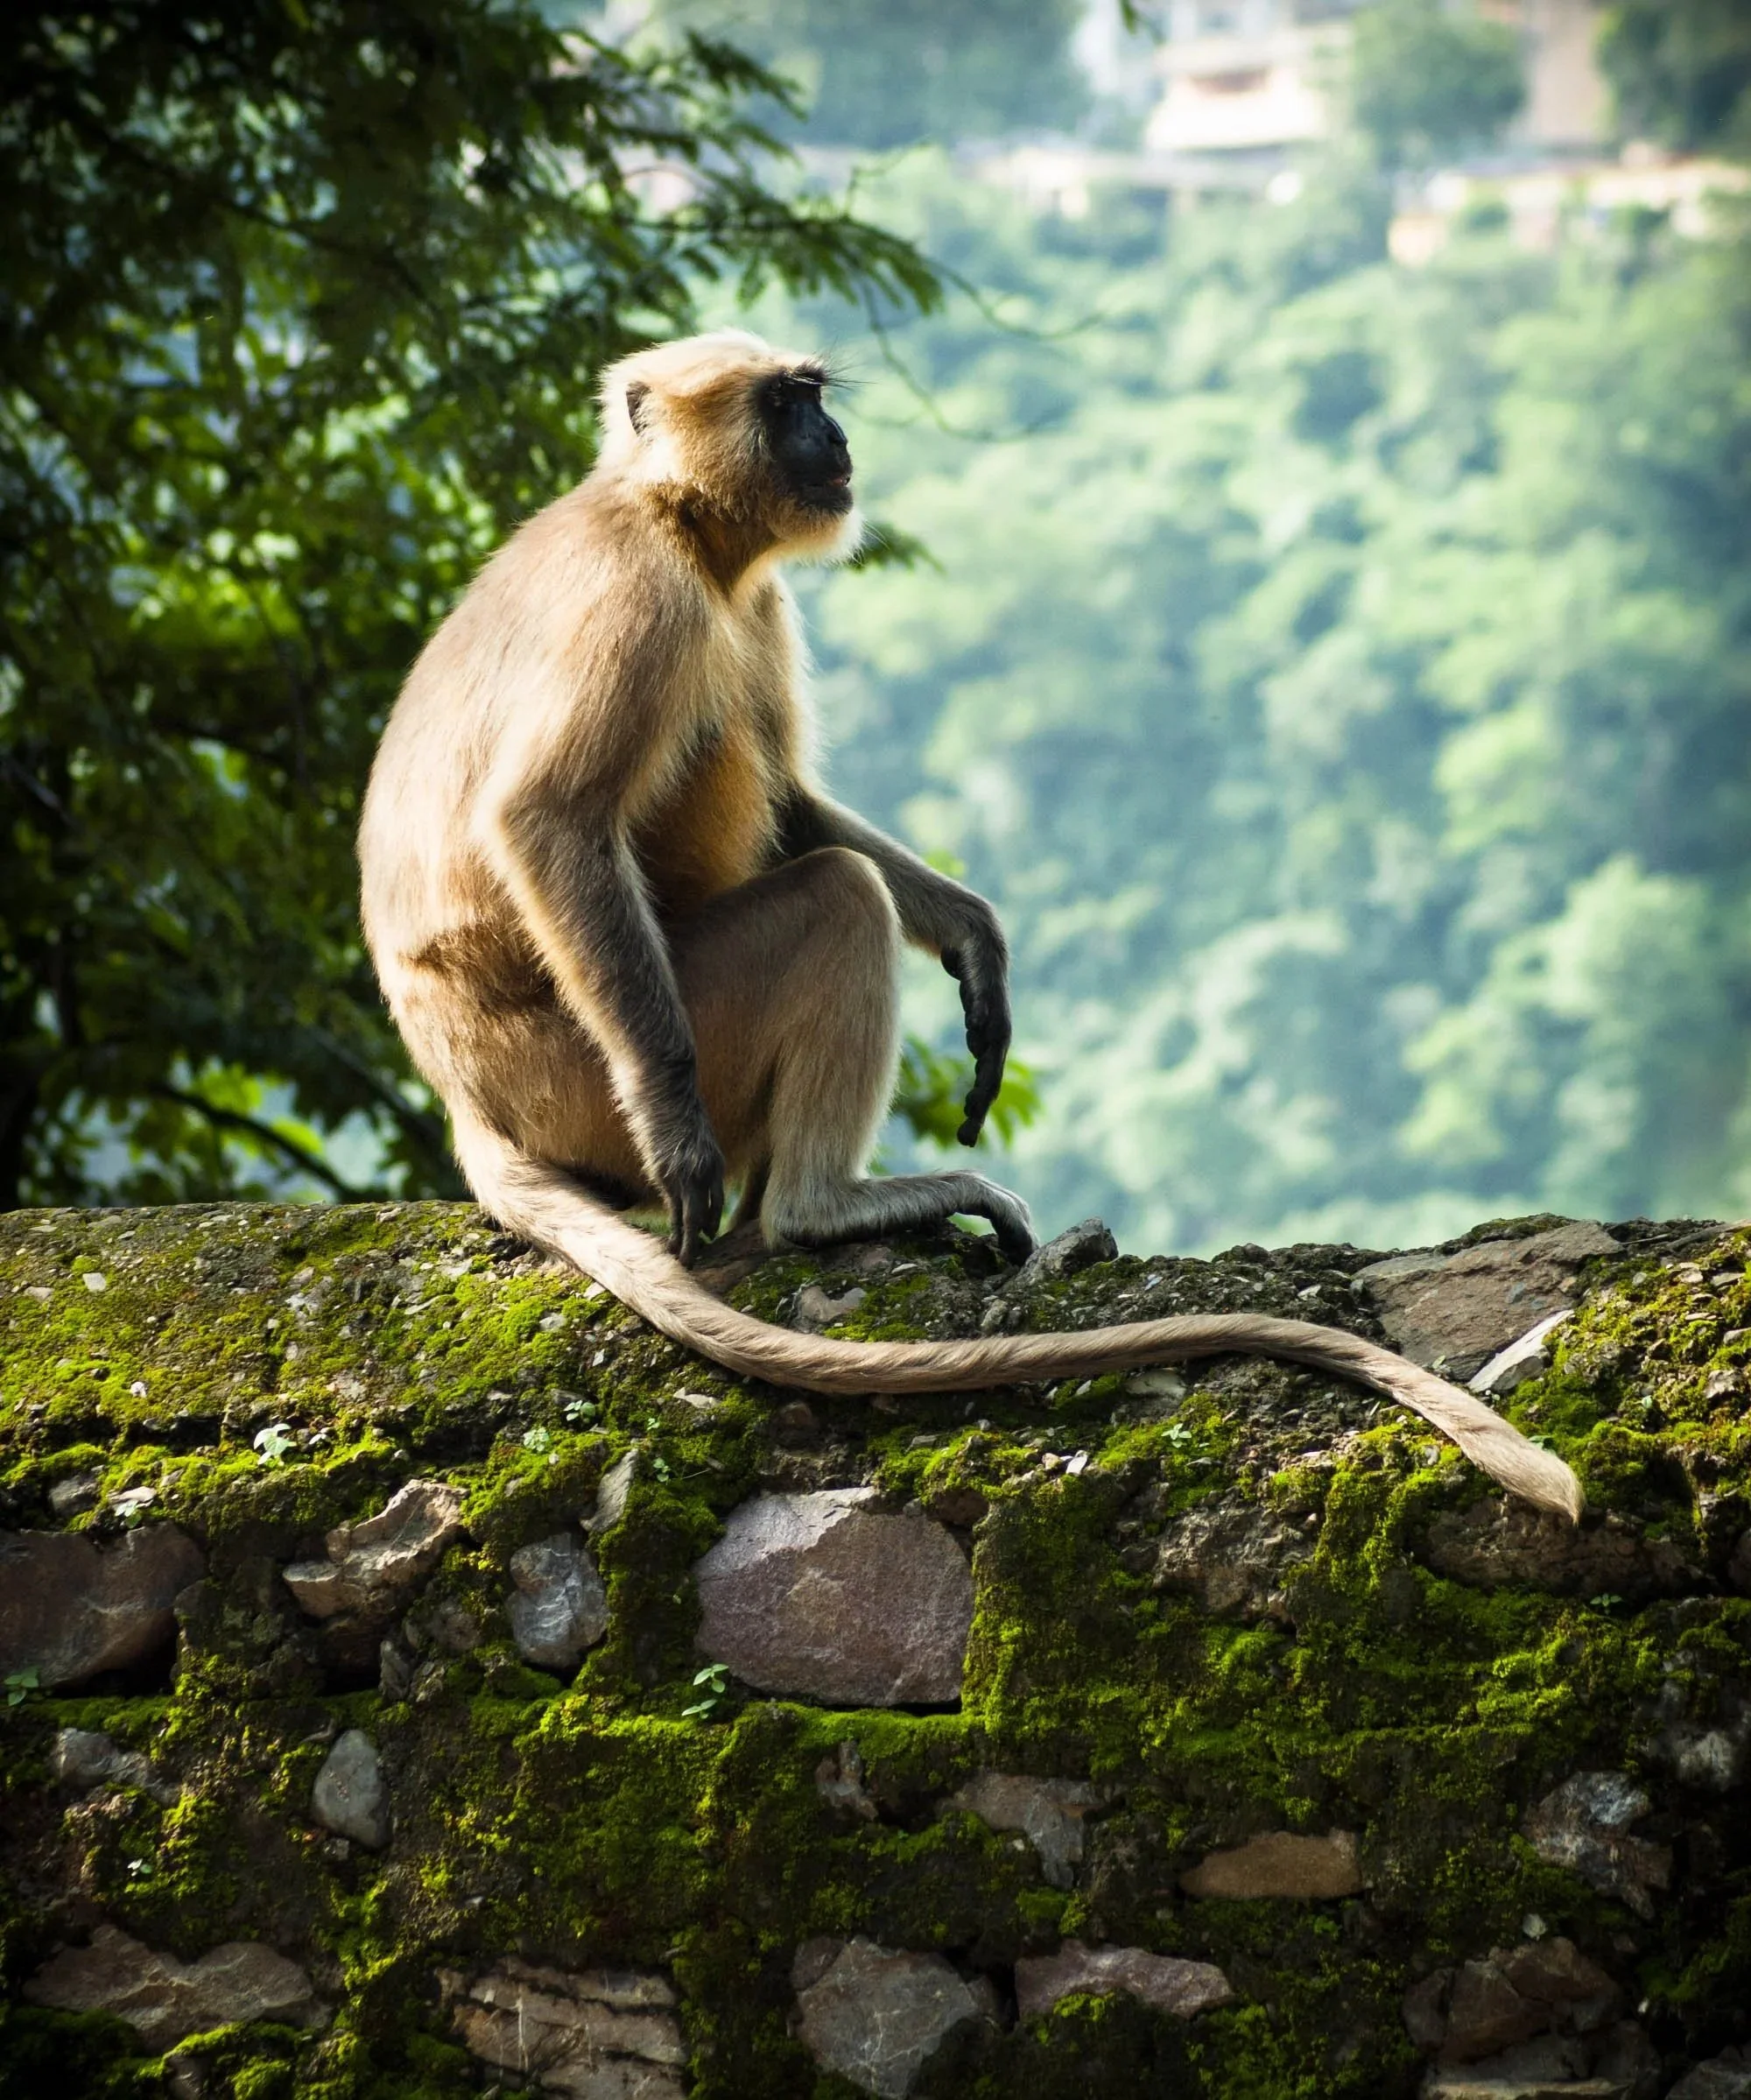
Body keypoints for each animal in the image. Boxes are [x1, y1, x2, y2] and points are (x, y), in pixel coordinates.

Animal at [357, 329, 1582, 1525]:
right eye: (786, 404)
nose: (833, 437)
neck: (674, 522)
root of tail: (471, 1100)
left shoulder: (748, 600)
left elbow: (791, 805)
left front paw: (973, 941)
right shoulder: (642, 595)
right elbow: (548, 819)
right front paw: (679, 1134)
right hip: (581, 1073)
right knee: (835, 896)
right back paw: (816, 1209)